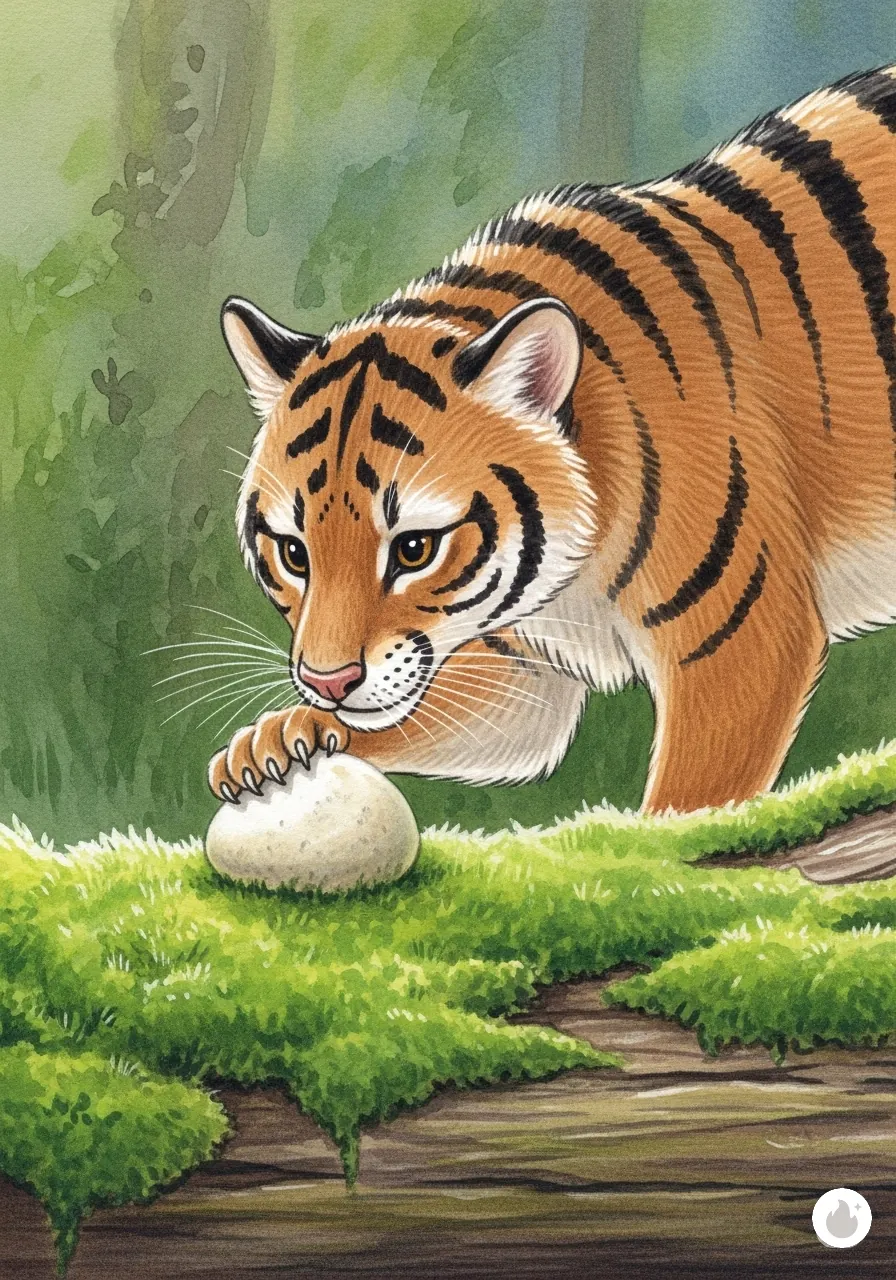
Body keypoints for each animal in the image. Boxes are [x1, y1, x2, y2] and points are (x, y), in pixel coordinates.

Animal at [209, 65, 896, 815]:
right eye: (294, 554)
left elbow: (687, 805)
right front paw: (276, 738)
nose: (327, 682)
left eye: (415, 549)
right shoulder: (521, 662)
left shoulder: (738, 637)